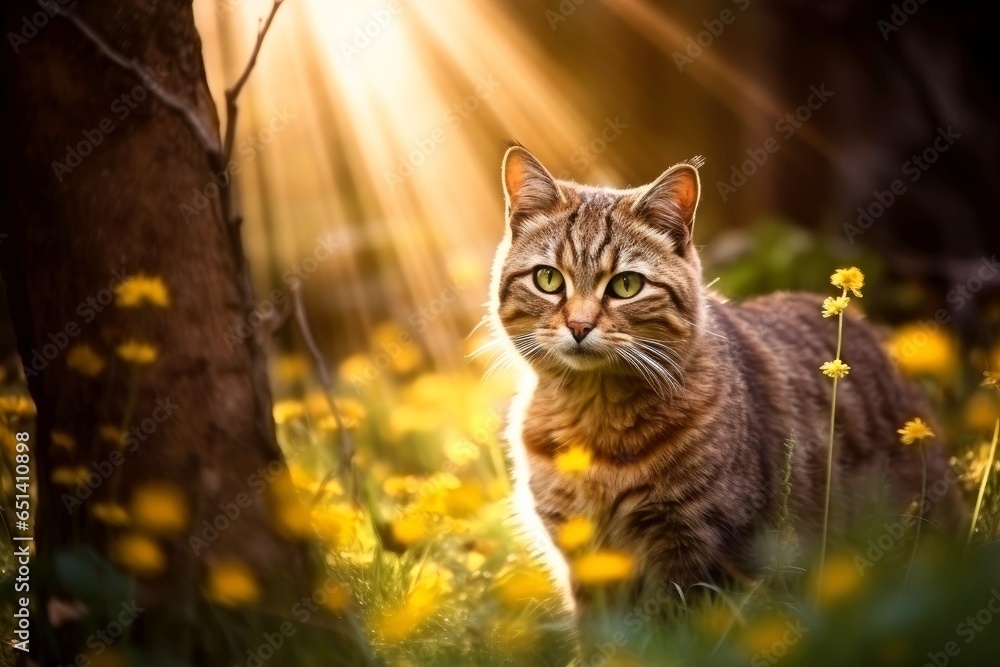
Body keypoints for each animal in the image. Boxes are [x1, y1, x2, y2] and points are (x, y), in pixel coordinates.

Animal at [488, 145, 964, 616]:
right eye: (549, 278)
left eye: (625, 285)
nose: (580, 326)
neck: (594, 423)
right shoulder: (587, 560)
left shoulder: (692, 549)